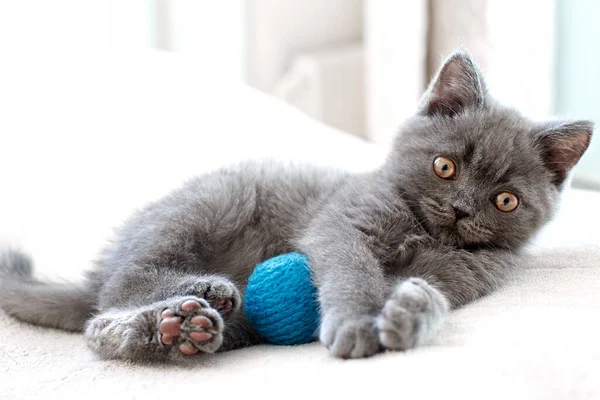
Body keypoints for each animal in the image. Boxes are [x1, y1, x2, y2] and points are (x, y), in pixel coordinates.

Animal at [0, 51, 592, 360]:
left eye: (505, 200)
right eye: (445, 167)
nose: (463, 210)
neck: (422, 229)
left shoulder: (461, 276)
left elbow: (429, 293)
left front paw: (408, 315)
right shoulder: (344, 223)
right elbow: (352, 271)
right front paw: (357, 322)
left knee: (102, 322)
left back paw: (176, 330)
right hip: (216, 199)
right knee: (116, 289)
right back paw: (201, 292)